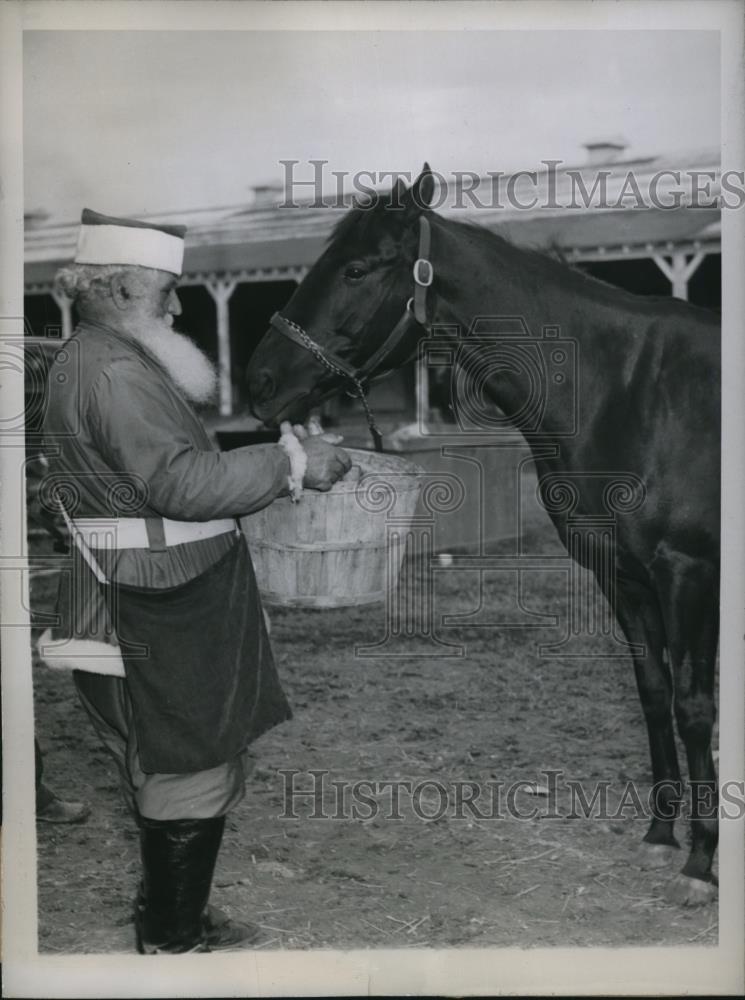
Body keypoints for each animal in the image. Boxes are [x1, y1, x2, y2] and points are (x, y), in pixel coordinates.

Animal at [248, 166, 720, 908]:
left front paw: (702, 862)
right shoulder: (622, 573)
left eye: (355, 268)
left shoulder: (689, 572)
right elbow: (652, 692)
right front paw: (659, 835)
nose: (260, 379)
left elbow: (694, 705)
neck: (629, 390)